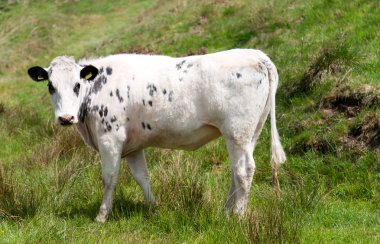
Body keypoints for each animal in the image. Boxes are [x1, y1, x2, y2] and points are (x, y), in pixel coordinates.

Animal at [27, 49, 284, 223]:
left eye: (77, 85)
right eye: (50, 86)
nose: (65, 118)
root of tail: (255, 54)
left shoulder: (110, 139)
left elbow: (109, 178)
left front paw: (101, 216)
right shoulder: (132, 145)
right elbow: (142, 177)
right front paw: (155, 207)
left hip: (237, 131)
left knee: (244, 170)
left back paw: (238, 216)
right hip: (250, 132)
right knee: (236, 170)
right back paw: (227, 211)